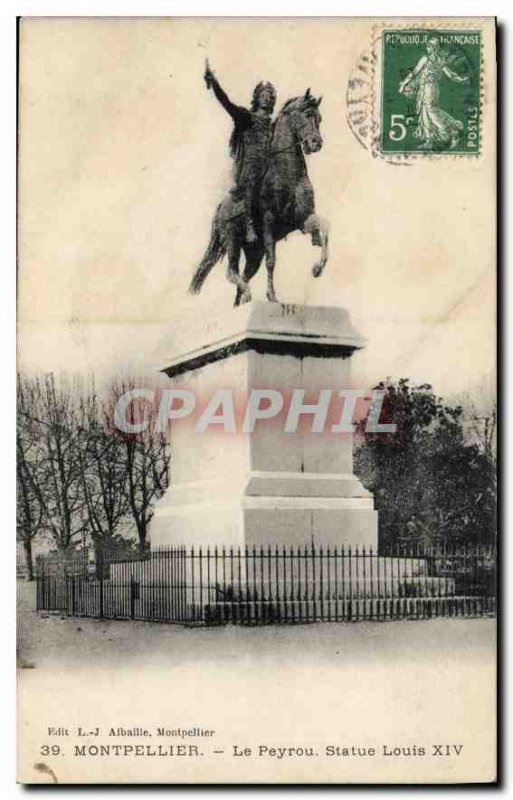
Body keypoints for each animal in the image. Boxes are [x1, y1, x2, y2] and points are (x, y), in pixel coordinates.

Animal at [188, 89, 328, 304]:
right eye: (306, 115)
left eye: (319, 118)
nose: (316, 143)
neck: (288, 175)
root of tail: (221, 207)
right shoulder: (269, 222)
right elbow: (272, 261)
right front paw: (272, 296)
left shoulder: (303, 220)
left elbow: (326, 227)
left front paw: (317, 268)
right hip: (233, 240)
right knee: (231, 272)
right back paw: (247, 294)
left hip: (254, 253)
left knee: (243, 277)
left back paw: (242, 300)